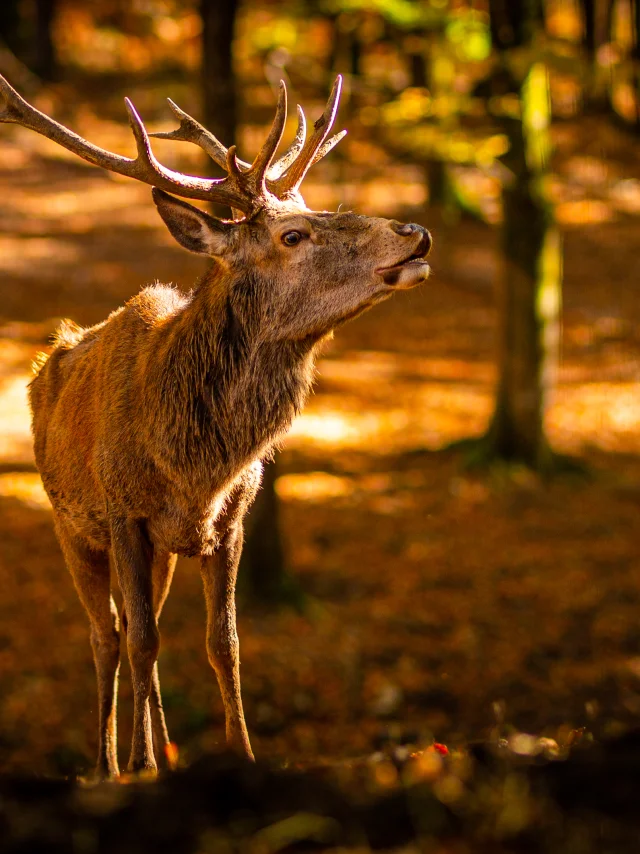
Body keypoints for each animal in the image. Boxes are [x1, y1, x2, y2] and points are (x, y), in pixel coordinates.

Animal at [0, 73, 432, 780]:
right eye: (293, 235)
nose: (414, 231)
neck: (192, 462)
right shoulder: (122, 514)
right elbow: (140, 641)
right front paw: (142, 765)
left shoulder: (228, 522)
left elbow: (222, 642)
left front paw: (239, 754)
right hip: (71, 526)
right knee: (106, 635)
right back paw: (109, 762)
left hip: (160, 551)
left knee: (139, 628)